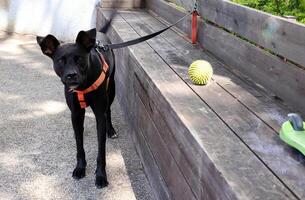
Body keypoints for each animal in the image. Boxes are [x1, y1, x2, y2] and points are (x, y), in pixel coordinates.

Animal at [36, 26, 116, 188]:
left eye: (79, 58)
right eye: (60, 60)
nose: (71, 75)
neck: (83, 86)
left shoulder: (99, 115)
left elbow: (101, 151)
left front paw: (101, 175)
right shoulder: (76, 113)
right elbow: (79, 144)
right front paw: (80, 168)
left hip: (111, 88)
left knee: (109, 110)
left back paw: (111, 130)